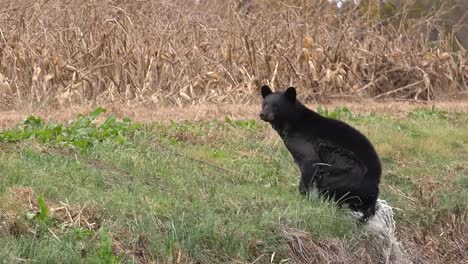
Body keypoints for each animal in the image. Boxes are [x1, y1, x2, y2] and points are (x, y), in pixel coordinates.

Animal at [260, 85, 380, 222]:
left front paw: (303, 199)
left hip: (348, 176)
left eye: (276, 105)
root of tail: (375, 190)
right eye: (264, 104)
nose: (263, 114)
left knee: (329, 183)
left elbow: (310, 163)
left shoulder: (305, 143)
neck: (292, 122)